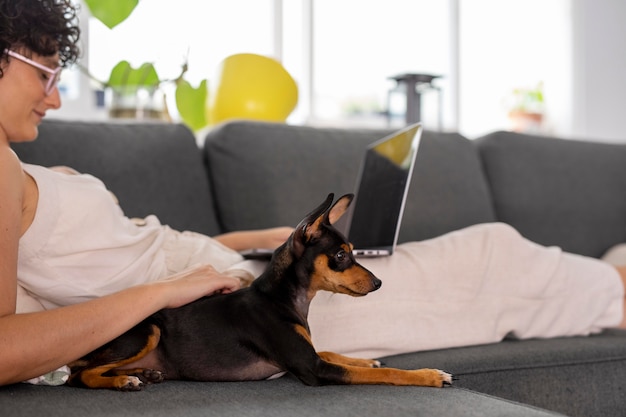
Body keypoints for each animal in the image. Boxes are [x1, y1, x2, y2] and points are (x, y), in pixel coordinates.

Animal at [67, 193, 448, 388]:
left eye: (355, 251)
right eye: (341, 256)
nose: (379, 282)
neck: (280, 300)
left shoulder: (310, 355)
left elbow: (336, 352)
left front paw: (367, 357)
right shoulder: (312, 368)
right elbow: (385, 373)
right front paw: (429, 375)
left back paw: (143, 374)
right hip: (148, 330)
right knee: (82, 375)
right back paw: (123, 381)